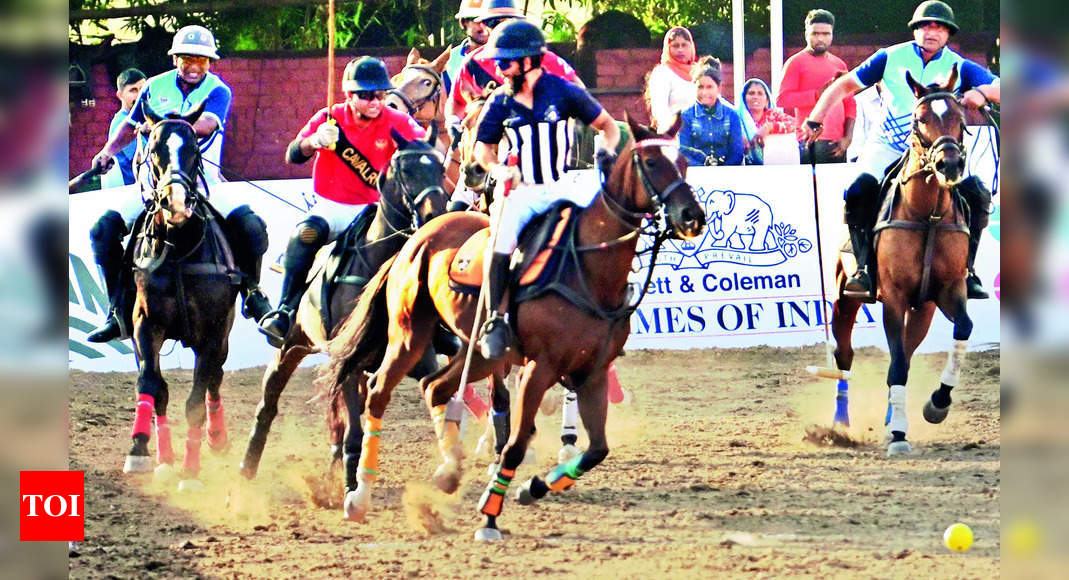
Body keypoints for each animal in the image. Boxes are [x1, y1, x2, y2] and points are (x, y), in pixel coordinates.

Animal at [120, 99, 241, 491]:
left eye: (194, 151)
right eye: (154, 150)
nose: (174, 203)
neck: (179, 249)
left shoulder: (213, 333)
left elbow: (196, 400)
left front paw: (190, 471)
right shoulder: (146, 324)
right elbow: (152, 385)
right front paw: (142, 451)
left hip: (223, 337)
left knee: (215, 381)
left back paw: (217, 439)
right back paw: (164, 455)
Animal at [238, 137, 446, 484]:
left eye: (442, 168)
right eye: (406, 170)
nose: (437, 213)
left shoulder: (417, 354)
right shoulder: (346, 357)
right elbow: (355, 431)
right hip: (292, 345)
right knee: (270, 401)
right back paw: (248, 465)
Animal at [316, 116, 701, 540]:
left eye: (684, 162)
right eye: (650, 161)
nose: (691, 217)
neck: (587, 267)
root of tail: (416, 237)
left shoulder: (593, 371)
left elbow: (597, 449)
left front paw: (533, 488)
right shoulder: (540, 367)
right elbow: (515, 443)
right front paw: (489, 516)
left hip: (477, 352)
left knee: (434, 386)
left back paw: (449, 471)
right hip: (409, 333)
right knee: (378, 392)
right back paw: (359, 495)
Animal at [825, 67, 979, 459]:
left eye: (960, 118)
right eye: (920, 118)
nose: (949, 165)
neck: (928, 215)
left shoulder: (949, 291)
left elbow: (963, 329)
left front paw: (937, 404)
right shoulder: (892, 297)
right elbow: (894, 365)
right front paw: (897, 435)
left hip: (922, 309)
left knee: (907, 352)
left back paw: (892, 416)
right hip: (844, 299)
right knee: (845, 354)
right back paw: (841, 423)